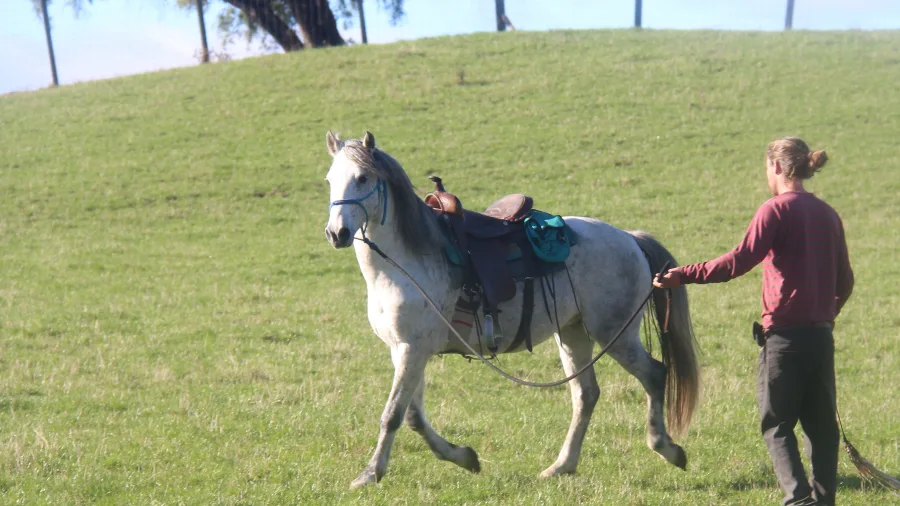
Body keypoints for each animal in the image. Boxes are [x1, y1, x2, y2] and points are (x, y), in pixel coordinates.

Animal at [323, 131, 700, 489]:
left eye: (362, 178)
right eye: (329, 179)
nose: (336, 233)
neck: (406, 262)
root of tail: (629, 238)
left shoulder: (413, 350)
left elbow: (393, 415)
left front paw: (370, 474)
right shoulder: (404, 350)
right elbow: (413, 415)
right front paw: (464, 457)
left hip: (614, 335)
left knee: (654, 374)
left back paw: (666, 449)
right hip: (574, 334)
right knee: (586, 394)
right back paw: (561, 466)